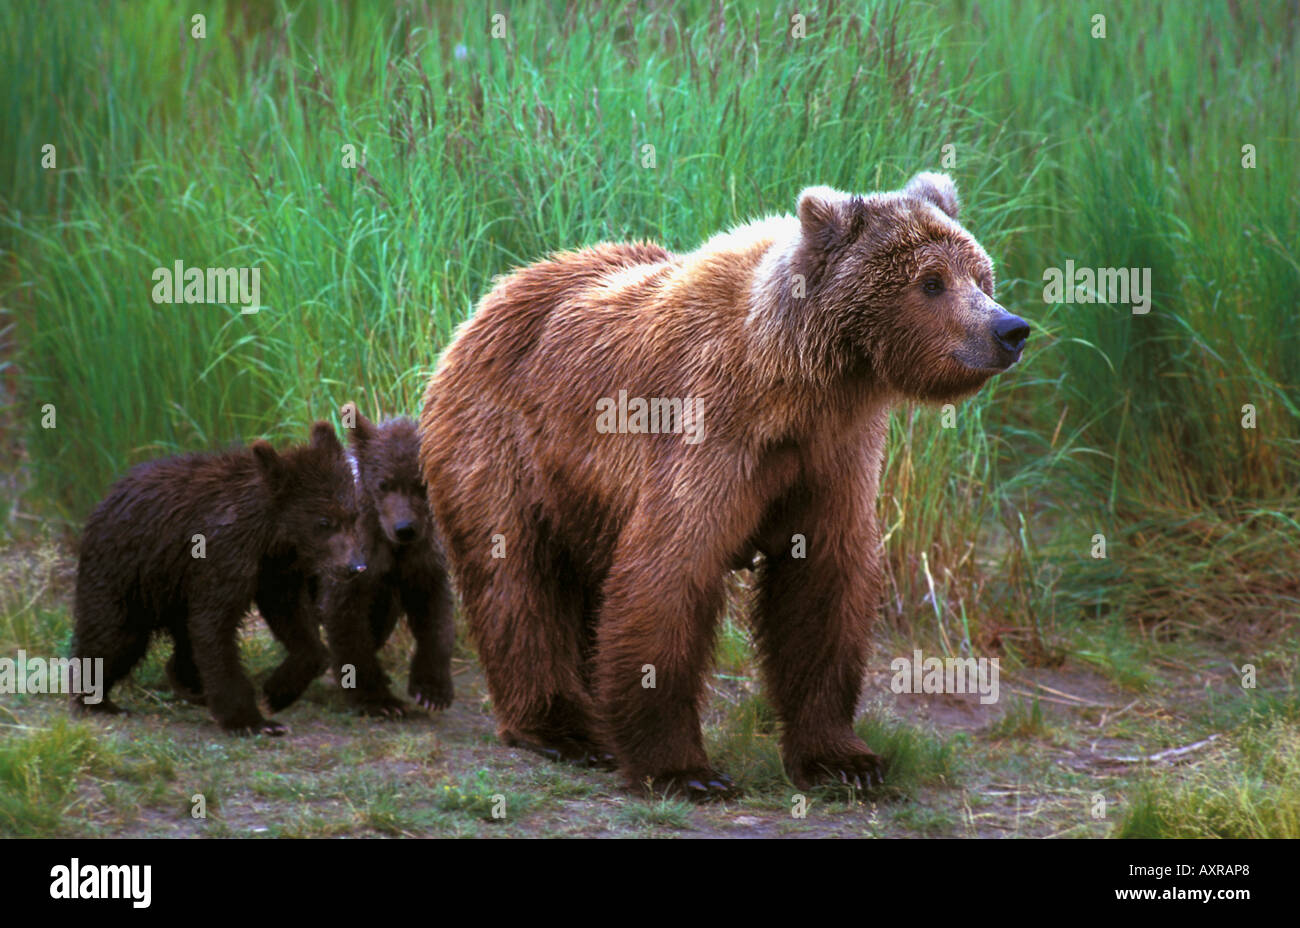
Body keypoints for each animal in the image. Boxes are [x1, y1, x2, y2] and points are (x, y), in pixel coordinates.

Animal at [69, 421, 366, 734]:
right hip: (125, 572)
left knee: (179, 636)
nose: (356, 566)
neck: (269, 537)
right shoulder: (221, 557)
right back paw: (99, 699)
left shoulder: (276, 571)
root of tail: (105, 499)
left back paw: (188, 683)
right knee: (114, 634)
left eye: (354, 516)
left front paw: (278, 691)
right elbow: (215, 627)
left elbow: (293, 620)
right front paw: (252, 720)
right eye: (324, 522)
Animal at [311, 403, 455, 718]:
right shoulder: (351, 559)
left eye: (420, 484)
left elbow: (435, 614)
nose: (405, 528)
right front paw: (378, 700)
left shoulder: (422, 560)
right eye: (383, 483)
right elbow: (347, 620)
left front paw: (432, 691)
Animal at [418, 172, 1029, 797]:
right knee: (517, 577)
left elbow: (823, 586)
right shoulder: (709, 427)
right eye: (931, 282)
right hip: (503, 444)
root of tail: (494, 294)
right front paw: (684, 770)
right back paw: (562, 728)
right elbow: (669, 573)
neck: (800, 383)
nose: (1010, 328)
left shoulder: (834, 457)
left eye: (981, 275)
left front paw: (844, 759)